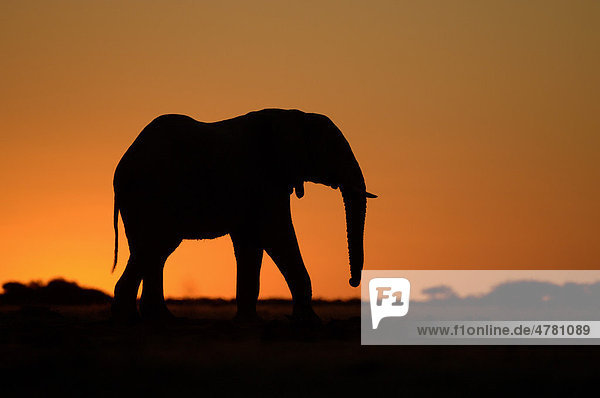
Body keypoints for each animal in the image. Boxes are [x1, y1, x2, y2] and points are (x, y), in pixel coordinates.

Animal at [110, 109, 378, 324]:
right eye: (332, 150)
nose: (352, 281)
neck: (296, 116)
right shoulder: (262, 180)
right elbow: (276, 234)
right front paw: (310, 321)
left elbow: (251, 242)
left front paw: (249, 321)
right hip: (149, 195)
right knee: (152, 247)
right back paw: (136, 319)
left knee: (152, 251)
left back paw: (153, 319)